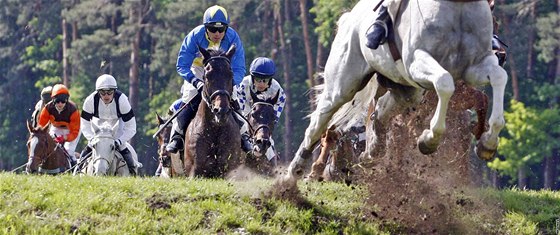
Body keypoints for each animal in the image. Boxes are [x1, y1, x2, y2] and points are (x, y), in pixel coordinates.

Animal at [184, 46, 243, 177]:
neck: (215, 130)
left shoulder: (231, 170)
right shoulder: (194, 172)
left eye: (230, 74)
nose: (221, 111)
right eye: (207, 76)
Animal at [288, 0, 508, 179]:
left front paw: (488, 143)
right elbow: (445, 82)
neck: (459, 6)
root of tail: (349, 17)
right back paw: (295, 172)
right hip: (343, 85)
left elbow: (499, 77)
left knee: (381, 110)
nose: (501, 54)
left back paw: (373, 149)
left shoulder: (475, 66)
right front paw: (430, 139)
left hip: (407, 89)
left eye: (496, 24)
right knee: (319, 123)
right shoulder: (417, 62)